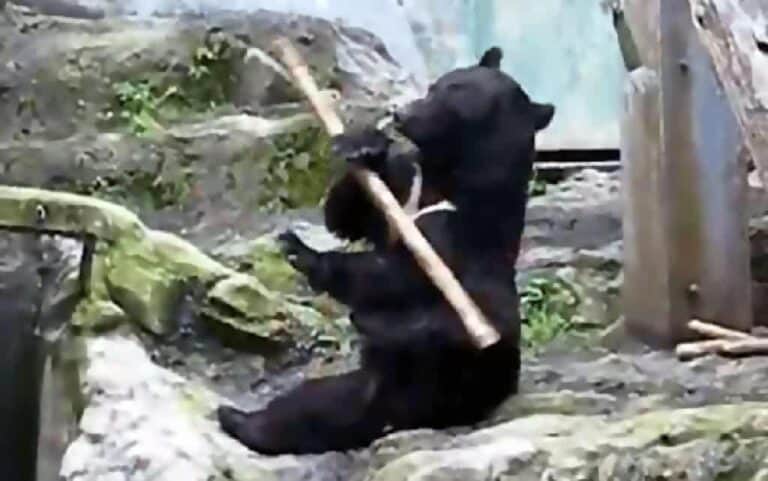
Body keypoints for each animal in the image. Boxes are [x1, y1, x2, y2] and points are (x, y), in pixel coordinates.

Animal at [216, 46, 555, 455]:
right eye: (434, 87)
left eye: (451, 99)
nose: (401, 113)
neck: (447, 178)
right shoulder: (407, 189)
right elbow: (351, 213)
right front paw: (363, 145)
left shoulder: (459, 232)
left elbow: (397, 275)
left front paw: (302, 251)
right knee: (315, 400)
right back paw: (237, 415)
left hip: (433, 379)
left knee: (324, 412)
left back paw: (243, 422)